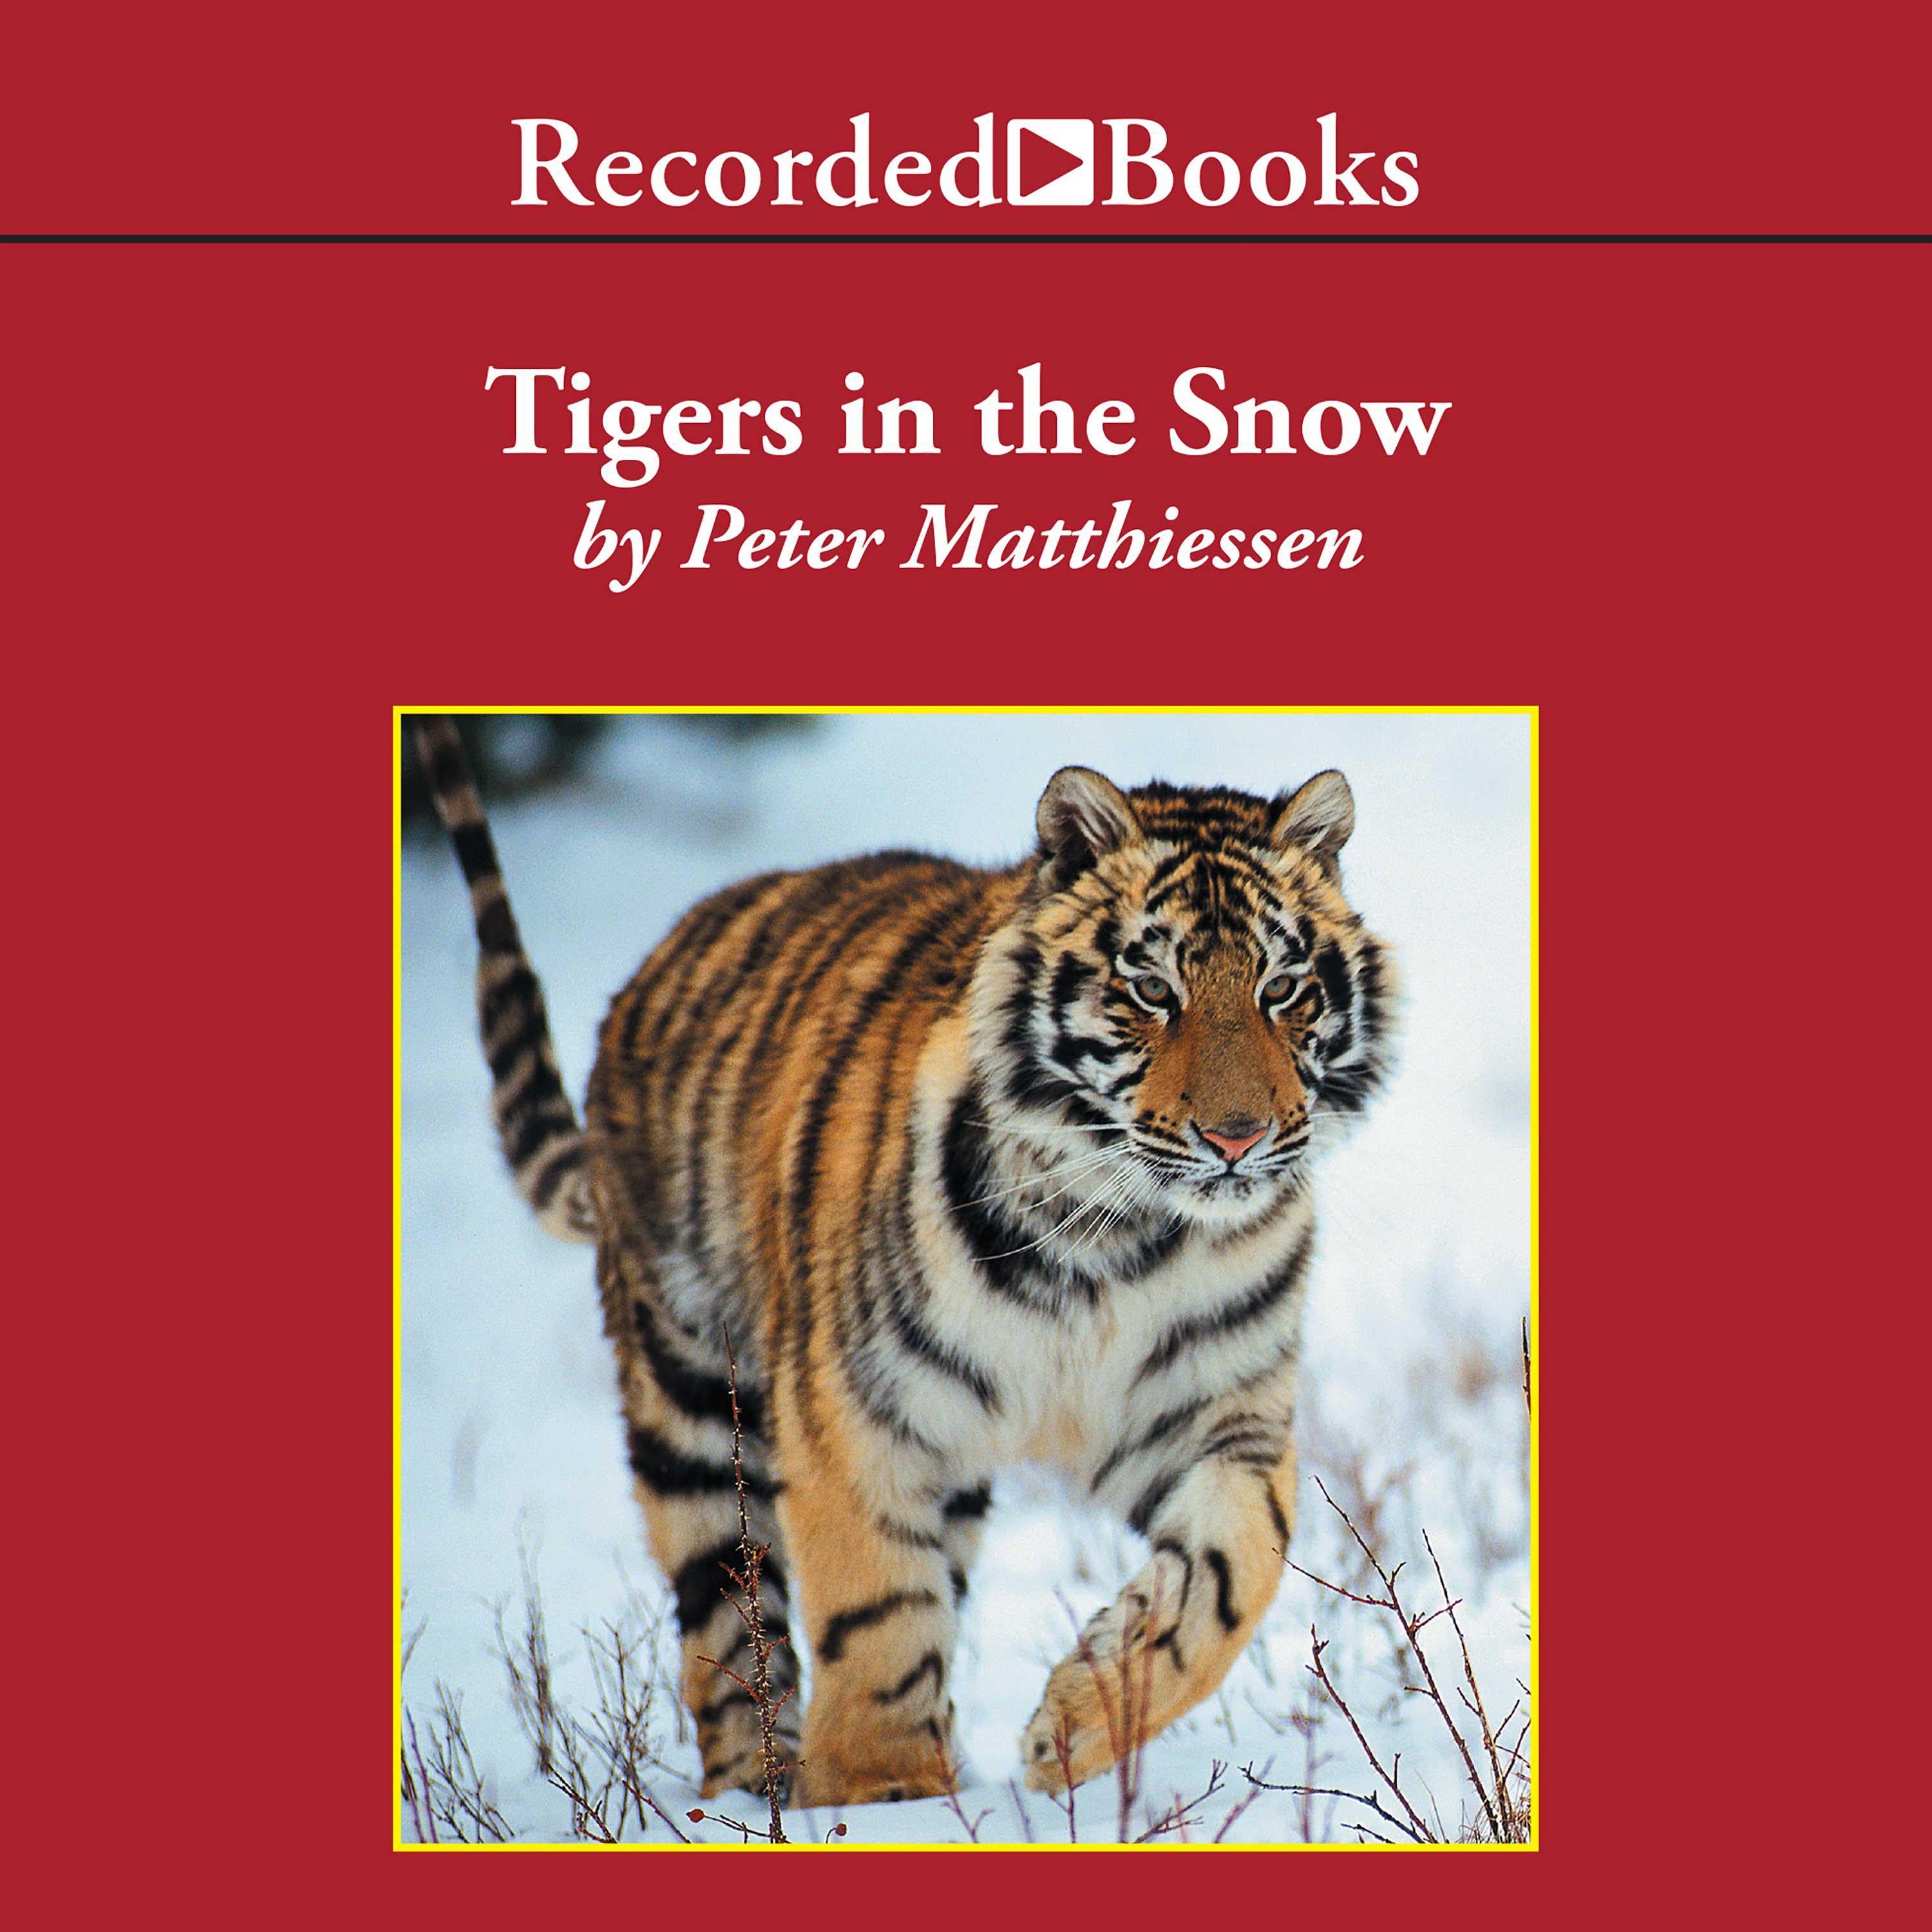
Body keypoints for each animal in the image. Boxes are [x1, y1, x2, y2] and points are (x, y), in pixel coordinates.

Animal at [415, 718, 1395, 1809]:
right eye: (1153, 992)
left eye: (1282, 990)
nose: (1237, 1138)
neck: (1119, 1236)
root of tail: (651, 969)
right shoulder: (858, 1412)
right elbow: (878, 1610)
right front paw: (886, 1794)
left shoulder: (1218, 1414)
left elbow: (1234, 1572)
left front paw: (1076, 1724)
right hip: (691, 1405)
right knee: (727, 1634)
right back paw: (751, 1798)